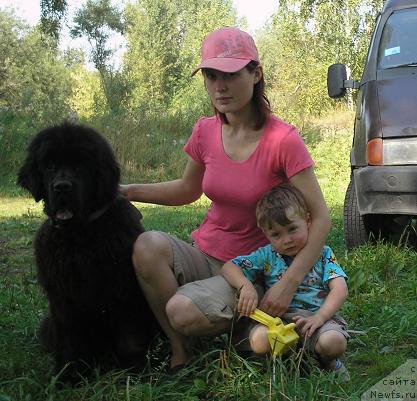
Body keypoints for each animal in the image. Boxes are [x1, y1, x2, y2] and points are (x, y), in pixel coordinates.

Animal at [17, 121, 158, 378]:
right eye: (49, 165)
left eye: (80, 165)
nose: (62, 187)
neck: (79, 237)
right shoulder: (63, 299)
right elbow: (71, 341)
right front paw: (69, 375)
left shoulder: (125, 292)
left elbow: (130, 339)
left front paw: (136, 372)